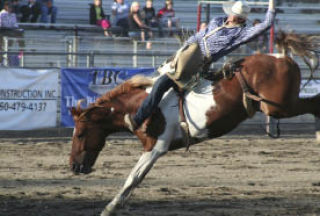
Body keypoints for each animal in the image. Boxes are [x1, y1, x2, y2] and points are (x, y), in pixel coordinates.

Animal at [69, 32, 318, 216]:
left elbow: (134, 177)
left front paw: (109, 207)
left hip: (278, 107)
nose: (73, 167)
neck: (139, 106)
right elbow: (135, 179)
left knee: (315, 103)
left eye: (80, 134)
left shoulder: (156, 147)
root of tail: (283, 57)